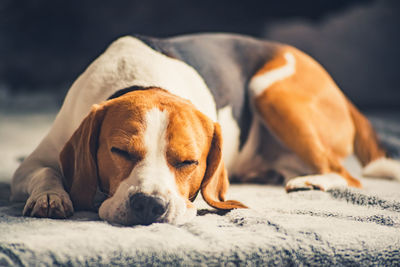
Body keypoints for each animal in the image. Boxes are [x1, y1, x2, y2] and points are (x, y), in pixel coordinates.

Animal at [10, 33, 400, 226]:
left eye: (188, 162)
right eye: (119, 152)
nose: (149, 205)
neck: (145, 80)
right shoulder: (30, 166)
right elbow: (45, 173)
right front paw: (51, 196)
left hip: (270, 90)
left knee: (347, 176)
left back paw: (310, 181)